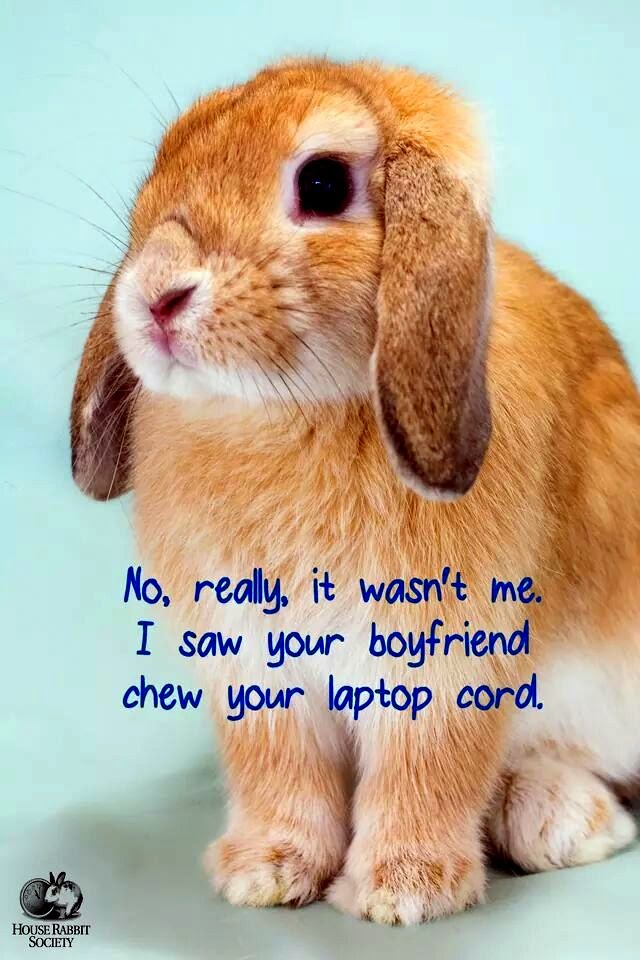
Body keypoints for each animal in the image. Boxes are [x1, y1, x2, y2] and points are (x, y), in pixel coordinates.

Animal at [70, 58, 640, 925]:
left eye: (324, 183)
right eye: (164, 161)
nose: (157, 295)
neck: (288, 411)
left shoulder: (443, 664)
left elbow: (426, 770)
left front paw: (401, 890)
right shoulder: (255, 667)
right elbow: (281, 772)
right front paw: (264, 871)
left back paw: (557, 819)